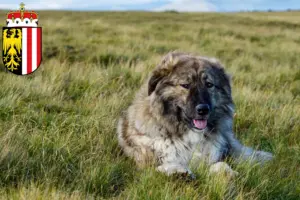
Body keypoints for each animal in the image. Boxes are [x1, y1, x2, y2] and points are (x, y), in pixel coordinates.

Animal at [117, 52, 274, 177]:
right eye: (185, 85)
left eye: (209, 85)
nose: (203, 110)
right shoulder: (147, 159)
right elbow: (166, 164)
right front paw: (178, 171)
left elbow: (221, 165)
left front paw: (227, 173)